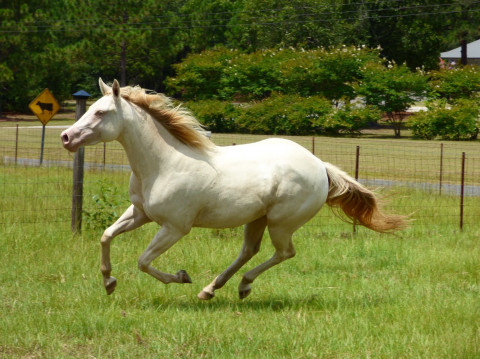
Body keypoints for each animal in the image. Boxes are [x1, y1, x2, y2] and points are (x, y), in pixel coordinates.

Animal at [59, 79, 404, 300]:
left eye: (100, 113)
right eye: (90, 108)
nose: (66, 137)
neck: (164, 162)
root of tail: (320, 166)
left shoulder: (175, 227)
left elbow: (144, 261)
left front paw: (181, 277)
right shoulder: (140, 212)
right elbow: (106, 235)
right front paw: (109, 282)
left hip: (280, 223)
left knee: (284, 253)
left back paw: (241, 287)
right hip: (257, 219)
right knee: (249, 251)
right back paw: (210, 290)